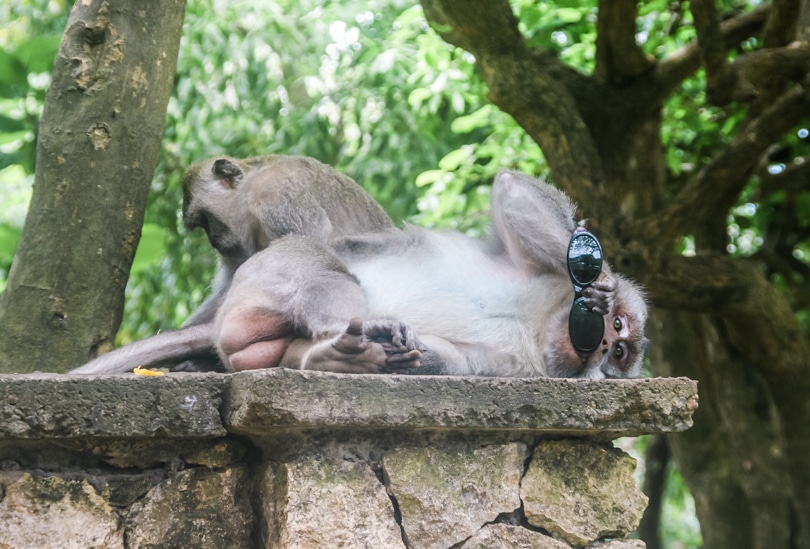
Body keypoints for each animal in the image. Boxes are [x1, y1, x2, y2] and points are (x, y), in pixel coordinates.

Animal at [72, 154, 648, 376]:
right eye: (619, 330)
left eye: (620, 351)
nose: (602, 346)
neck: (537, 323)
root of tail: (221, 329)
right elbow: (512, 191)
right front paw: (599, 281)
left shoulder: (516, 367)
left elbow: (450, 362)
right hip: (265, 275)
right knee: (320, 265)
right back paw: (355, 335)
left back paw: (336, 354)